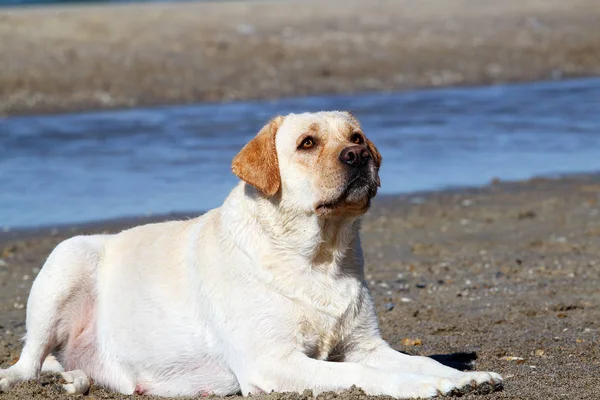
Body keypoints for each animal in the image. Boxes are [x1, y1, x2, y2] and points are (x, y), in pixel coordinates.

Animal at [0, 111, 502, 396]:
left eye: (357, 136)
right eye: (307, 143)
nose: (359, 156)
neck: (319, 256)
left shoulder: (364, 345)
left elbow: (417, 359)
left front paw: (463, 376)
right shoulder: (272, 361)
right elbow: (373, 375)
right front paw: (428, 385)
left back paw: (73, 379)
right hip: (66, 258)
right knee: (28, 362)